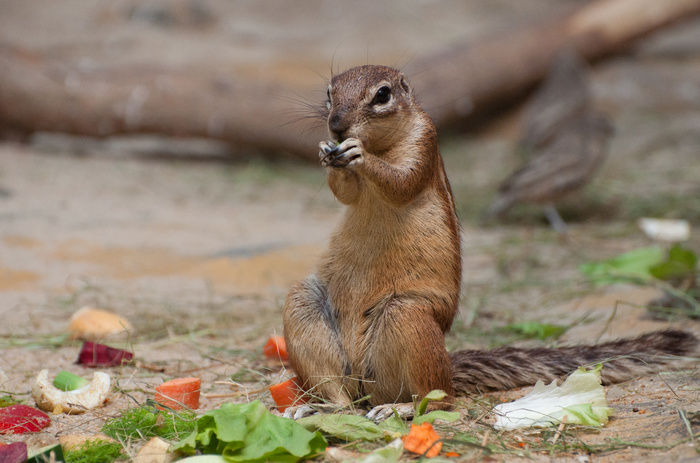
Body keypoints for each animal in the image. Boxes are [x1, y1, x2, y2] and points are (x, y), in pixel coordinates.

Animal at [284, 64, 696, 416]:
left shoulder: (424, 144)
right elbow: (345, 194)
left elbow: (400, 181)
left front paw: (359, 155)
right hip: (305, 307)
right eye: (329, 92)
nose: (336, 126)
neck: (381, 143)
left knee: (436, 398)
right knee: (343, 397)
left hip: (406, 315)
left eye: (382, 95)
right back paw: (319, 407)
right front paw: (326, 152)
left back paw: (399, 408)